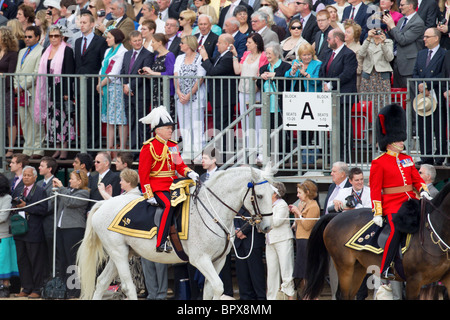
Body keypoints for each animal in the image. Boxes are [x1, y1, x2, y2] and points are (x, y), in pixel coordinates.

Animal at [76, 165, 274, 300]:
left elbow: (211, 290)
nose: (267, 227)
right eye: (260, 196)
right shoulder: (200, 259)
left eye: (272, 193)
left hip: (122, 253)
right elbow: (218, 287)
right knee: (127, 287)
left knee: (102, 282)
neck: (212, 211)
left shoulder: (218, 261)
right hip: (118, 252)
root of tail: (104, 203)